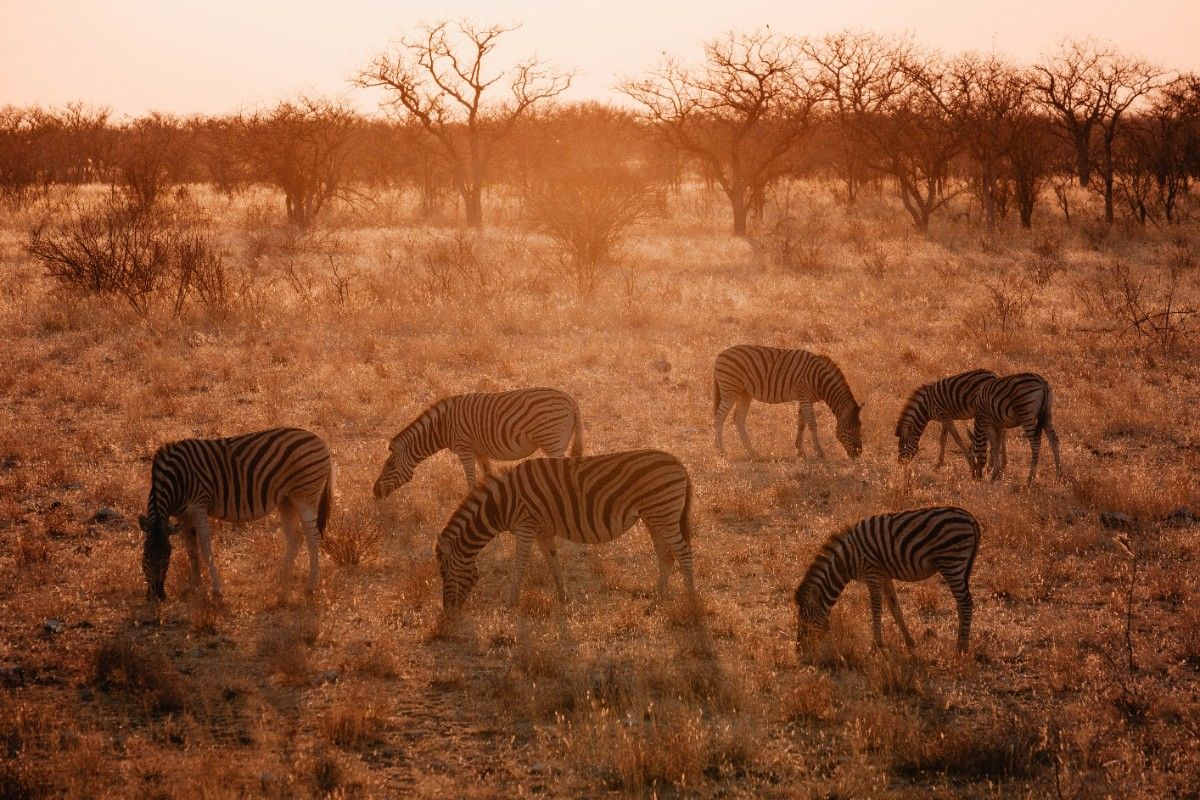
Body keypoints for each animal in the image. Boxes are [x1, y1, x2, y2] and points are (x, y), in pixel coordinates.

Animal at [139, 424, 333, 599]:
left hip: (305, 496)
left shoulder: (199, 506)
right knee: (295, 538)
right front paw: (195, 586)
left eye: (166, 558)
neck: (176, 481)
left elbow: (205, 548)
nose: (157, 597)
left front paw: (216, 589)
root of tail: (321, 442)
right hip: (287, 500)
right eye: (145, 558)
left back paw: (310, 586)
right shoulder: (182, 516)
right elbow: (192, 551)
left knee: (313, 538)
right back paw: (281, 580)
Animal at [372, 386, 583, 496]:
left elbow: (471, 481)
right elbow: (488, 476)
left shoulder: (464, 449)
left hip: (551, 441)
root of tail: (570, 400)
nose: (375, 492)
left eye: (390, 465)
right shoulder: (480, 451)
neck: (443, 426)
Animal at [434, 450, 696, 614]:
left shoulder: (526, 526)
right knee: (666, 558)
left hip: (664, 514)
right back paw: (653, 606)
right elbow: (553, 562)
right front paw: (563, 598)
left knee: (684, 555)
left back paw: (693, 603)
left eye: (445, 573)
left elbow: (519, 563)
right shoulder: (542, 530)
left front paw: (510, 604)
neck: (503, 503)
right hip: (654, 519)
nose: (447, 612)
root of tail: (679, 463)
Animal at [710, 345, 864, 462]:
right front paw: (819, 452)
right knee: (719, 417)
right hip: (730, 389)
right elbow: (812, 424)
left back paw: (752, 452)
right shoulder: (805, 396)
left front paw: (800, 451)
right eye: (849, 429)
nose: (859, 452)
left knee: (738, 419)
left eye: (859, 428)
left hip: (744, 393)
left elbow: (801, 424)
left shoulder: (804, 398)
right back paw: (720, 451)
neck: (821, 380)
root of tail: (719, 354)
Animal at [792, 510, 979, 652]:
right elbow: (896, 610)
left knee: (965, 603)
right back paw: (961, 643)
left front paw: (877, 646)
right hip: (960, 567)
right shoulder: (885, 576)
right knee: (962, 603)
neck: (848, 558)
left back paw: (961, 649)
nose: (799, 649)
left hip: (951, 562)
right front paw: (910, 643)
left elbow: (876, 610)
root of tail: (971, 519)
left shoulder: (873, 574)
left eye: (805, 619)